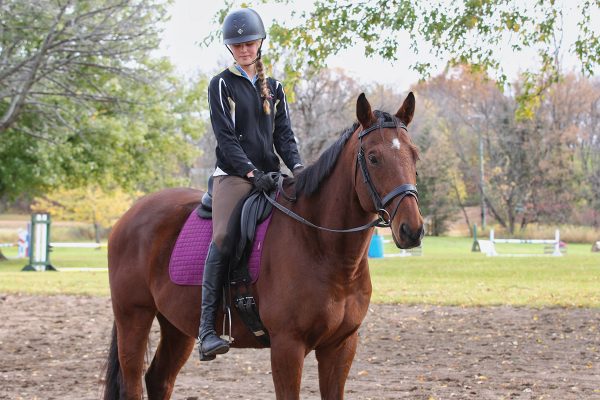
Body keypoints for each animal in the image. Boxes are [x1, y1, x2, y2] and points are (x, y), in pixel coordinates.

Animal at [104, 92, 422, 398]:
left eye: (415, 156)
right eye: (373, 158)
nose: (412, 230)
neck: (321, 247)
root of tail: (129, 215)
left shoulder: (341, 346)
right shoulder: (287, 347)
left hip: (176, 326)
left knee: (159, 380)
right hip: (134, 317)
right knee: (133, 384)